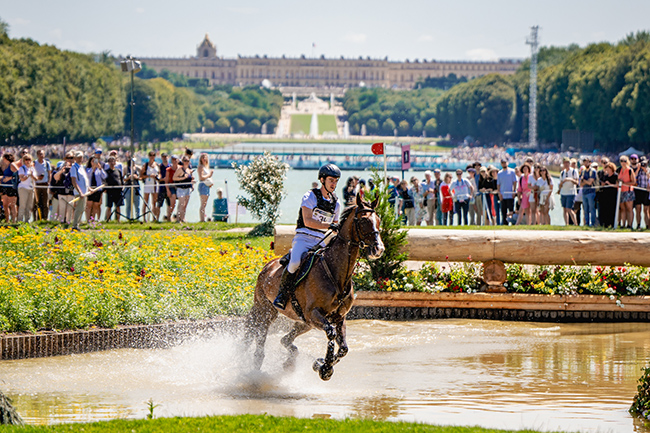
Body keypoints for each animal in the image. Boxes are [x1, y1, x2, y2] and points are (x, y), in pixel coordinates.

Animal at [244, 194, 384, 380]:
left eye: (379, 220)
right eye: (363, 221)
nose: (379, 249)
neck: (336, 273)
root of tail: (267, 267)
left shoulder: (338, 317)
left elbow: (344, 348)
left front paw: (321, 364)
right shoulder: (314, 314)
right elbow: (331, 335)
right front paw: (324, 368)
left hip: (303, 322)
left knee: (285, 340)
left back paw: (290, 361)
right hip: (266, 311)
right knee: (259, 337)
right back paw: (254, 365)